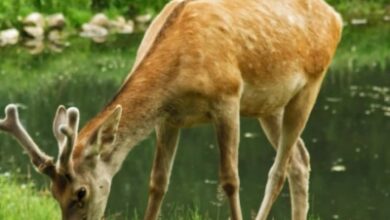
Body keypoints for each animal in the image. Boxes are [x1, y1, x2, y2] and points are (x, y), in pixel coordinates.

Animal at [0, 0, 342, 219]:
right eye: (53, 193)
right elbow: (157, 183)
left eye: (80, 193)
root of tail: (336, 17)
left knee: (280, 168)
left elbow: (230, 180)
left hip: (311, 83)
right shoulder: (168, 120)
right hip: (268, 106)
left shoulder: (228, 96)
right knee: (300, 159)